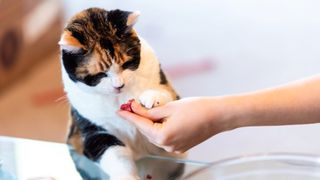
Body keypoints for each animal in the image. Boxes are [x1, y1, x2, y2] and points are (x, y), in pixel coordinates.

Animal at [59, 7, 185, 179]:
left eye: (126, 64)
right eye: (101, 74)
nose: (119, 85)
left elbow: (166, 94)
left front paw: (151, 98)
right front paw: (127, 176)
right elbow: (115, 155)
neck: (117, 99)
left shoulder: (168, 89)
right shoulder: (93, 132)